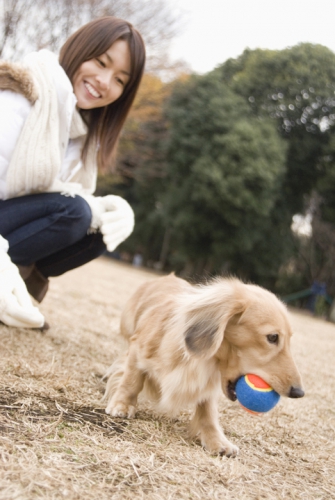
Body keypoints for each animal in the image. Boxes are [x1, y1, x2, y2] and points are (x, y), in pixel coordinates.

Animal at [104, 276, 304, 456]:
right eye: (272, 337)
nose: (299, 392)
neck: (201, 361)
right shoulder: (137, 349)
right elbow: (132, 381)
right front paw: (122, 405)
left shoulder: (208, 385)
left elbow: (207, 412)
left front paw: (217, 441)